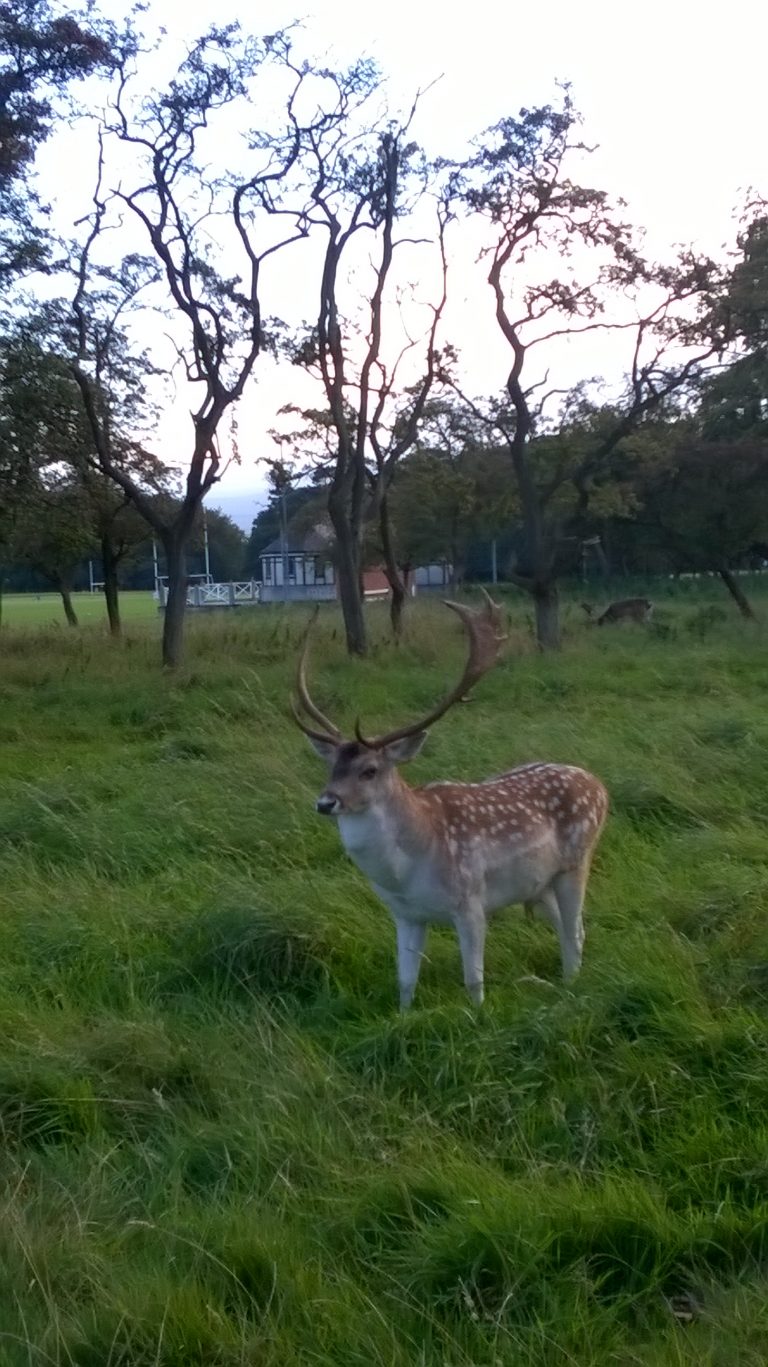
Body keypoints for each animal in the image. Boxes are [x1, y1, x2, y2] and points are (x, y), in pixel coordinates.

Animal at [289, 593, 606, 1011]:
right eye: (331, 767)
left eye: (369, 770)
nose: (327, 802)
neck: (407, 872)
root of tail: (599, 784)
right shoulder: (404, 914)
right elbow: (405, 980)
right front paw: (404, 1016)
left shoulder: (470, 901)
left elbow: (473, 978)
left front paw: (479, 1015)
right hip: (539, 884)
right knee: (569, 928)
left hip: (576, 862)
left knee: (575, 932)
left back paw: (570, 989)